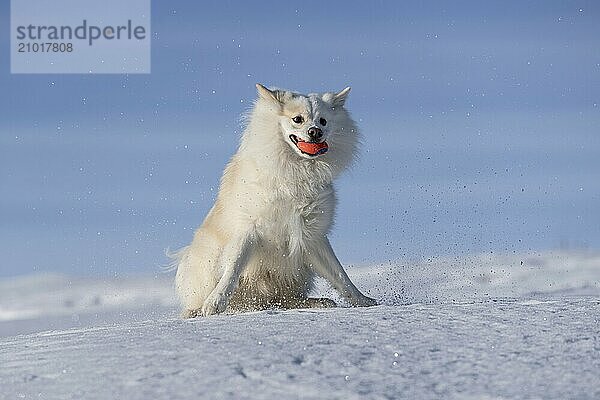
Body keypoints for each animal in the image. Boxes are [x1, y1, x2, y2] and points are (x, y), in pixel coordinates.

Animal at [171, 84, 376, 316]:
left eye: (323, 121)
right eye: (297, 119)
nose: (315, 132)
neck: (296, 171)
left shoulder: (312, 236)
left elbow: (340, 274)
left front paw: (363, 301)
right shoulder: (248, 229)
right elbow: (233, 268)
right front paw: (215, 302)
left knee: (285, 299)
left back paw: (319, 302)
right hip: (208, 257)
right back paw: (196, 310)